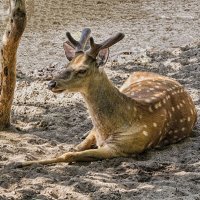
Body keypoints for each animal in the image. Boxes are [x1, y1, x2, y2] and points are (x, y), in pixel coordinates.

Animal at [18, 27, 197, 166]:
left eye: (82, 70)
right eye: (68, 64)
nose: (51, 83)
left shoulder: (123, 147)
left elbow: (70, 154)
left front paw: (23, 163)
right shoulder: (99, 135)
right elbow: (75, 148)